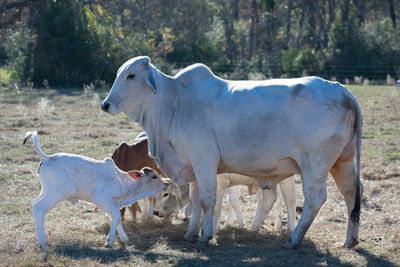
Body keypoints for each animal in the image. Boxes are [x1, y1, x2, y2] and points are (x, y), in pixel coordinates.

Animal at [23, 132, 170, 251]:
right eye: (154, 176)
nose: (167, 183)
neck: (121, 182)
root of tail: (48, 157)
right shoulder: (103, 200)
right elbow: (117, 216)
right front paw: (109, 241)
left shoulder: (106, 205)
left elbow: (116, 218)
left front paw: (124, 238)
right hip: (55, 194)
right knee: (39, 208)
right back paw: (43, 244)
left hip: (46, 192)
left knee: (33, 204)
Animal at [101, 56, 362, 249]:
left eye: (131, 75)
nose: (105, 104)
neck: (174, 103)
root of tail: (343, 91)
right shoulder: (193, 167)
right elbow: (195, 201)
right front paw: (190, 233)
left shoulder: (205, 161)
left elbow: (207, 201)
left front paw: (206, 235)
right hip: (343, 162)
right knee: (351, 193)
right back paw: (349, 240)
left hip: (315, 166)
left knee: (314, 199)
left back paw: (294, 239)